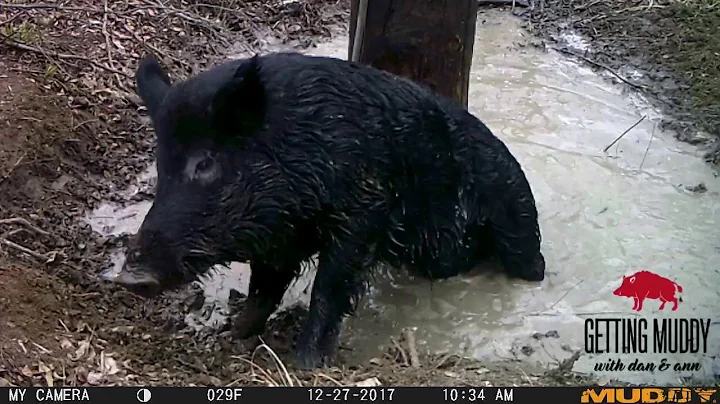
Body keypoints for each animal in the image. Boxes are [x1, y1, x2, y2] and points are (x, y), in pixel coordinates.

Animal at [113, 52, 546, 369]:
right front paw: (232, 335)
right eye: (161, 166)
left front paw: (305, 364)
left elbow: (328, 288)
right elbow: (262, 289)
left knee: (531, 264)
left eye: (204, 163)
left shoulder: (361, 215)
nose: (130, 276)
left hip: (519, 227)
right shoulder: (280, 238)